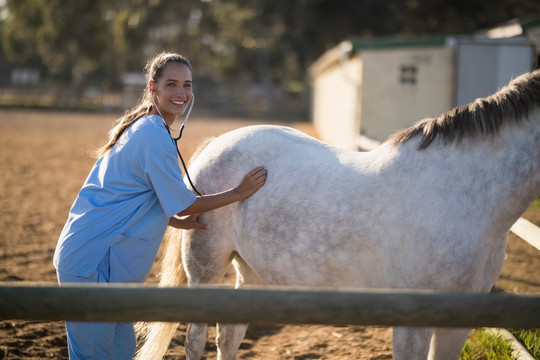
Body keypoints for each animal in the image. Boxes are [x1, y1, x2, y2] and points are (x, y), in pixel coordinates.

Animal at [137, 69, 540, 358]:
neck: (460, 190)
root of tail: (215, 144)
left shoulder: (458, 323)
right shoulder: (413, 322)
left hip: (252, 271)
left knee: (229, 336)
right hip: (204, 267)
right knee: (196, 339)